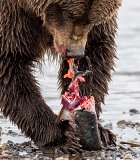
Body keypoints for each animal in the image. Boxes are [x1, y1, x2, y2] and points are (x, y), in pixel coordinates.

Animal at [0, 0, 121, 152]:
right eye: (68, 14)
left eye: (92, 19)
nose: (75, 52)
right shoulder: (12, 17)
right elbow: (10, 67)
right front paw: (62, 138)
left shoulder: (97, 31)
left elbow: (97, 52)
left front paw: (101, 131)